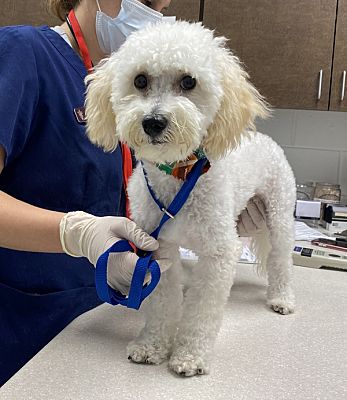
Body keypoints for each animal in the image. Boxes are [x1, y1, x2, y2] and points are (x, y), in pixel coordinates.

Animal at [85, 21, 296, 378]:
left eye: (188, 82)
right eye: (139, 80)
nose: (153, 121)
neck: (178, 176)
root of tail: (264, 138)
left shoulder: (219, 253)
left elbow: (201, 312)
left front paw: (190, 355)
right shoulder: (156, 250)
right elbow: (161, 302)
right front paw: (151, 345)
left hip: (279, 215)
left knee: (281, 260)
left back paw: (281, 297)